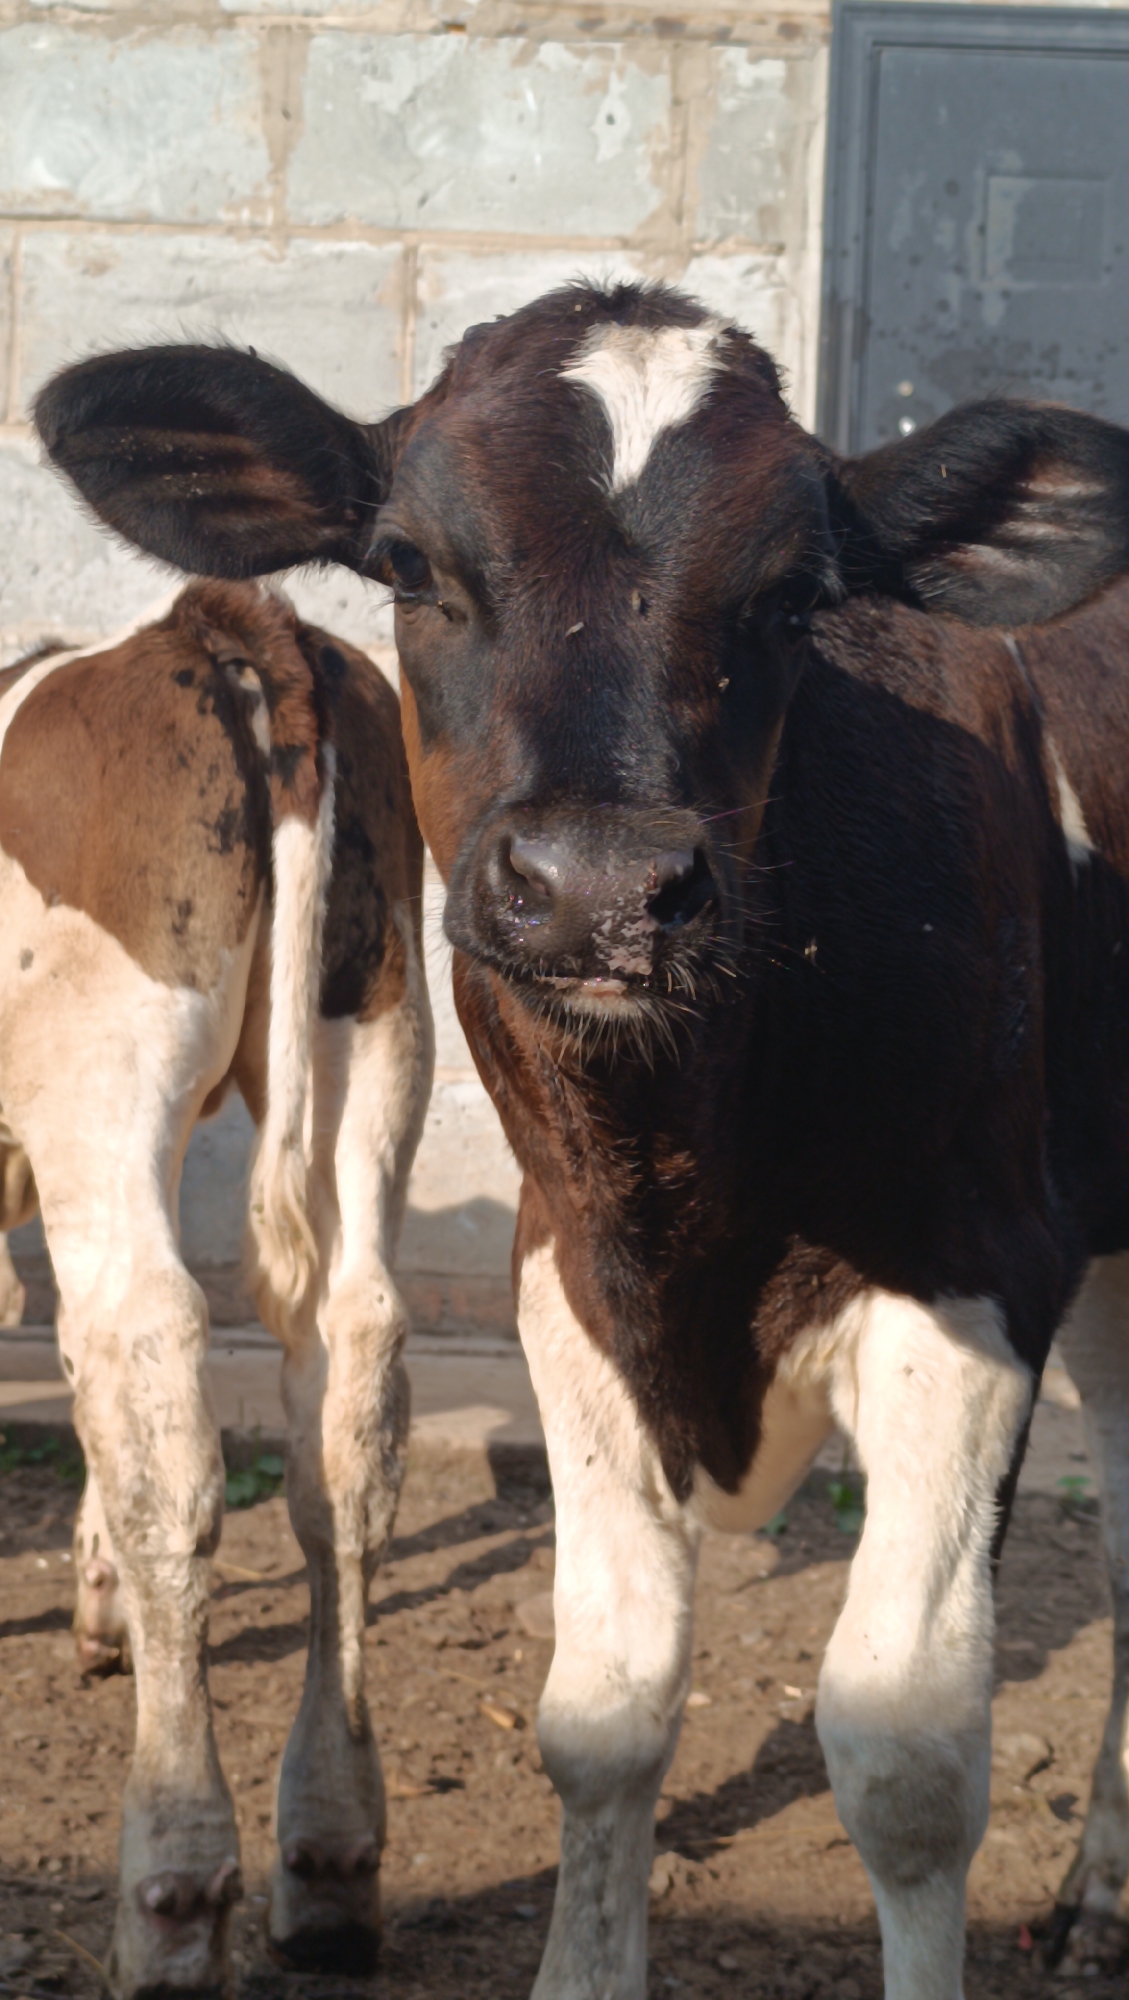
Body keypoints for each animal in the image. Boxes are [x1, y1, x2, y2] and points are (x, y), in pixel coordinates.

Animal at [0, 581, 433, 1995]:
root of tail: (218, 627)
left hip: (99, 1073)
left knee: (148, 1368)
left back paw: (175, 1887)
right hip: (373, 1010)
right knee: (341, 1403)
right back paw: (332, 1855)